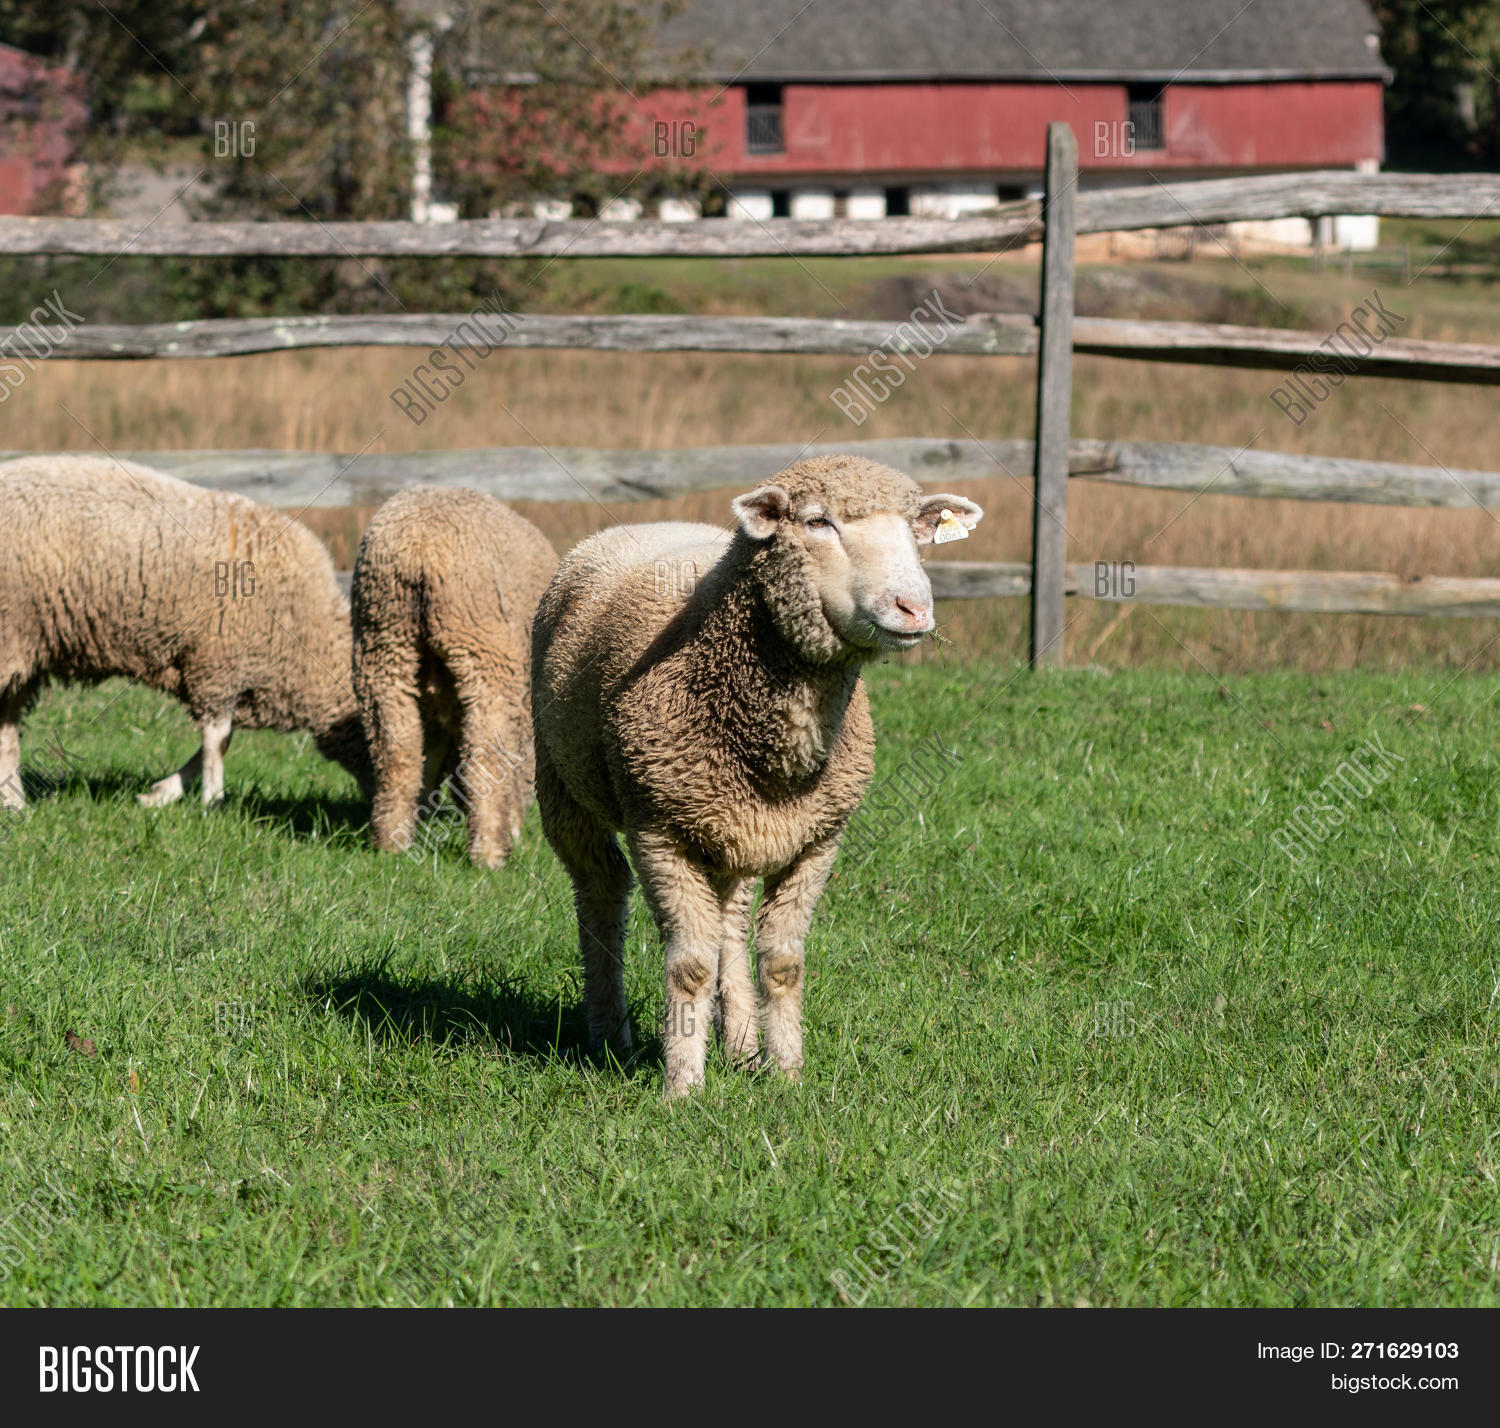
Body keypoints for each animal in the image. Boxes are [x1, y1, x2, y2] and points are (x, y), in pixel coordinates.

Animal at [0, 453, 372, 810]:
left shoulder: (234, 675)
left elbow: (220, 742)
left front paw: (160, 794)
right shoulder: (219, 663)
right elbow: (218, 741)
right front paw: (212, 801)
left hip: (24, 646)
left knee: (7, 725)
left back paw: (15, 802)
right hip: (11, 632)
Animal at [350, 485, 557, 868]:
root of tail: (421, 547)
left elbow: (429, 756)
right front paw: (514, 827)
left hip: (382, 648)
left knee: (398, 753)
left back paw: (392, 844)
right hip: (484, 654)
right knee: (484, 760)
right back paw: (490, 854)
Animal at [531, 454, 983, 1096]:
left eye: (916, 529)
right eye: (818, 522)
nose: (914, 608)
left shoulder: (818, 839)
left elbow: (782, 962)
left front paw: (787, 1075)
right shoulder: (659, 830)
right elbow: (689, 966)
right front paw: (682, 1087)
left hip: (730, 826)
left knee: (730, 923)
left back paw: (741, 1045)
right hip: (562, 785)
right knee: (600, 890)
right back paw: (609, 1033)